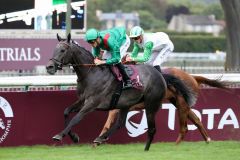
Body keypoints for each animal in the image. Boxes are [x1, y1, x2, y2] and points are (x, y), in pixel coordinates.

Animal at [45, 33, 195, 151]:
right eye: (54, 49)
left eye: (63, 50)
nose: (49, 67)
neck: (92, 73)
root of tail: (160, 75)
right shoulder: (82, 100)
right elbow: (66, 112)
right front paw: (74, 137)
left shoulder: (92, 103)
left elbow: (76, 118)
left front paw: (59, 135)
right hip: (126, 104)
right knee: (121, 123)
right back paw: (100, 138)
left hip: (151, 105)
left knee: (152, 129)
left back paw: (145, 150)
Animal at [93, 67, 228, 145]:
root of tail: (192, 76)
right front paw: (99, 139)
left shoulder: (122, 106)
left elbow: (109, 121)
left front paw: (99, 139)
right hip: (178, 102)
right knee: (196, 120)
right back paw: (207, 140)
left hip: (181, 103)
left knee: (184, 127)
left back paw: (176, 146)